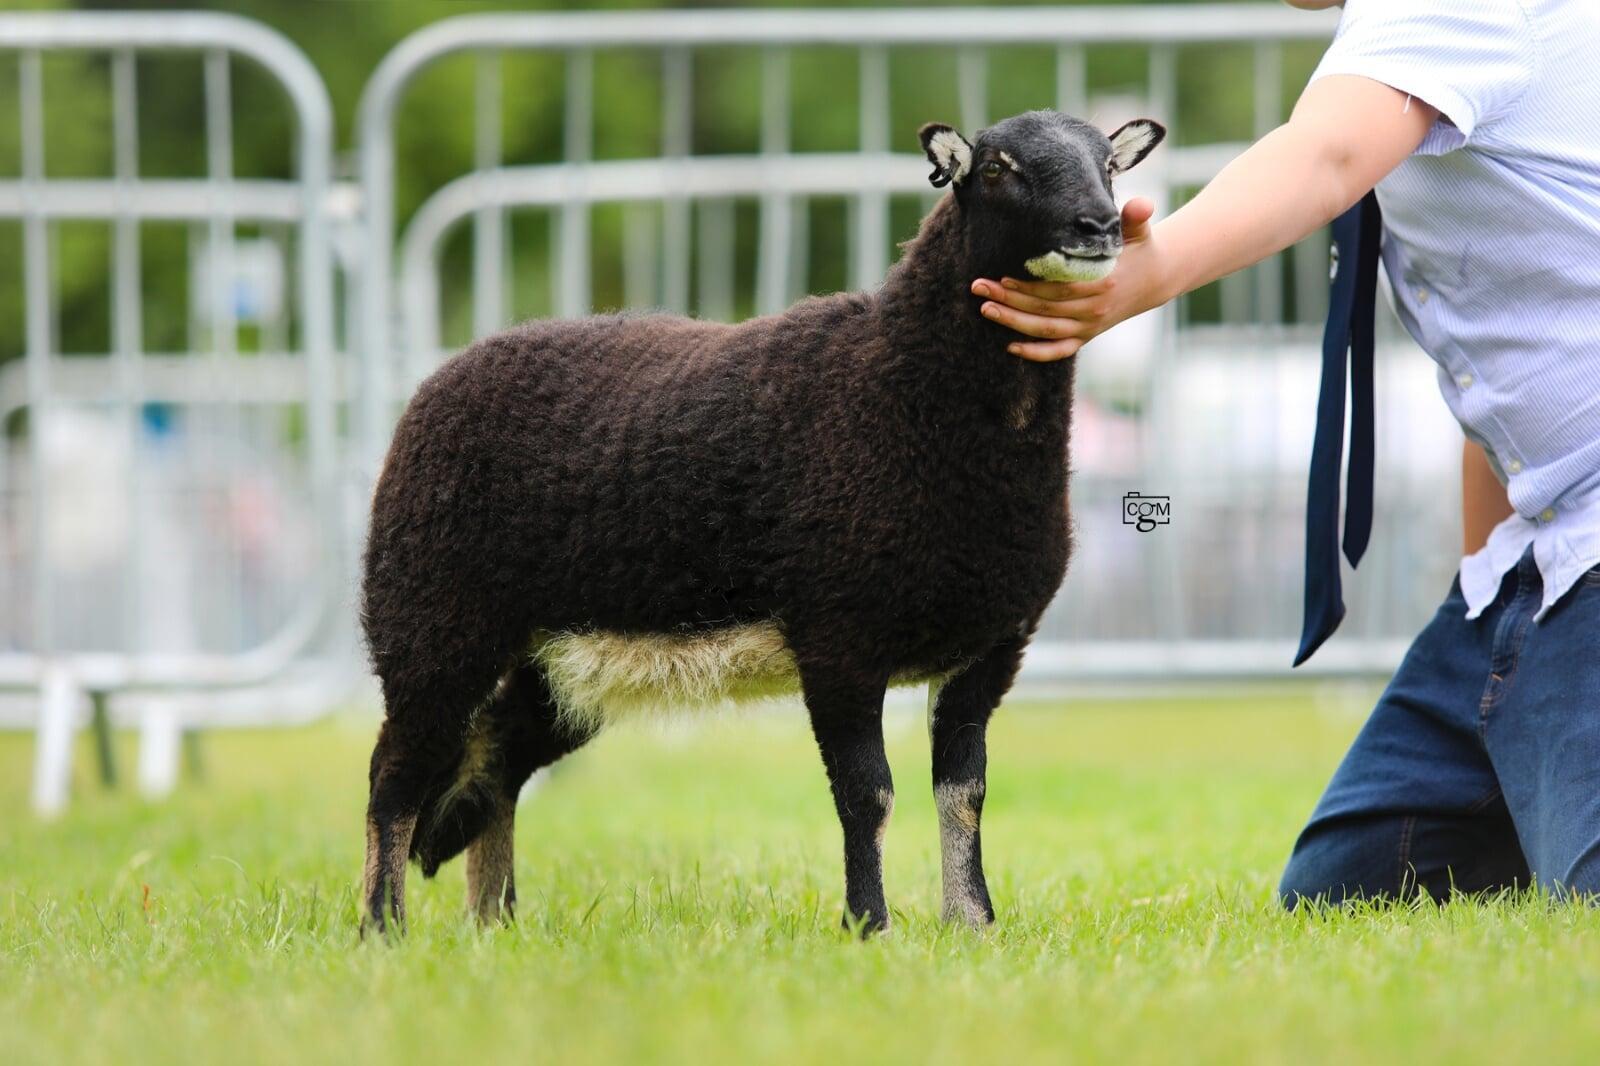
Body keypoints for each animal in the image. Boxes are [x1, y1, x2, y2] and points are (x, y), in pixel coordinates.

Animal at [359, 109, 1165, 937]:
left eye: (1111, 164)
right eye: (1000, 168)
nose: (1099, 225)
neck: (902, 388)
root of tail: (441, 379)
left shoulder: (989, 648)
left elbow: (963, 795)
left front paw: (971, 925)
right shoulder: (840, 638)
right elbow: (867, 794)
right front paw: (869, 926)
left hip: (554, 661)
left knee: (495, 759)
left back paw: (493, 923)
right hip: (434, 615)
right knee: (397, 772)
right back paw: (383, 927)